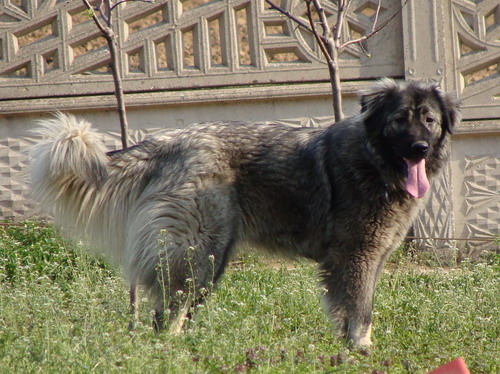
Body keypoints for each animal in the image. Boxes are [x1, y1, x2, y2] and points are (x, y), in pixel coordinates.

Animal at [30, 77, 460, 350]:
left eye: (429, 120)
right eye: (399, 120)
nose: (420, 148)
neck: (373, 160)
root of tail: (167, 143)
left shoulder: (365, 258)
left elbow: (355, 308)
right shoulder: (357, 257)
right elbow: (361, 310)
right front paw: (361, 351)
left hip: (209, 260)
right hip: (198, 252)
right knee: (168, 315)